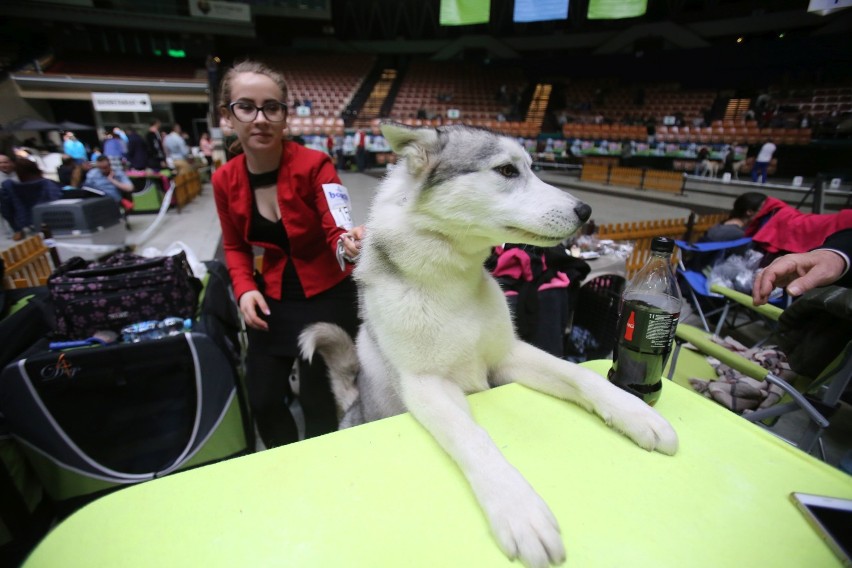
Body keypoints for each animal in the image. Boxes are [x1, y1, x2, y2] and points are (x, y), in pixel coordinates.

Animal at [300, 124, 680, 568]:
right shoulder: (427, 386)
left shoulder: (508, 357)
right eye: (507, 170)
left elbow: (581, 377)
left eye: (532, 167)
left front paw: (636, 413)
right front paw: (520, 509)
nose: (585, 211)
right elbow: (474, 439)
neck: (450, 283)